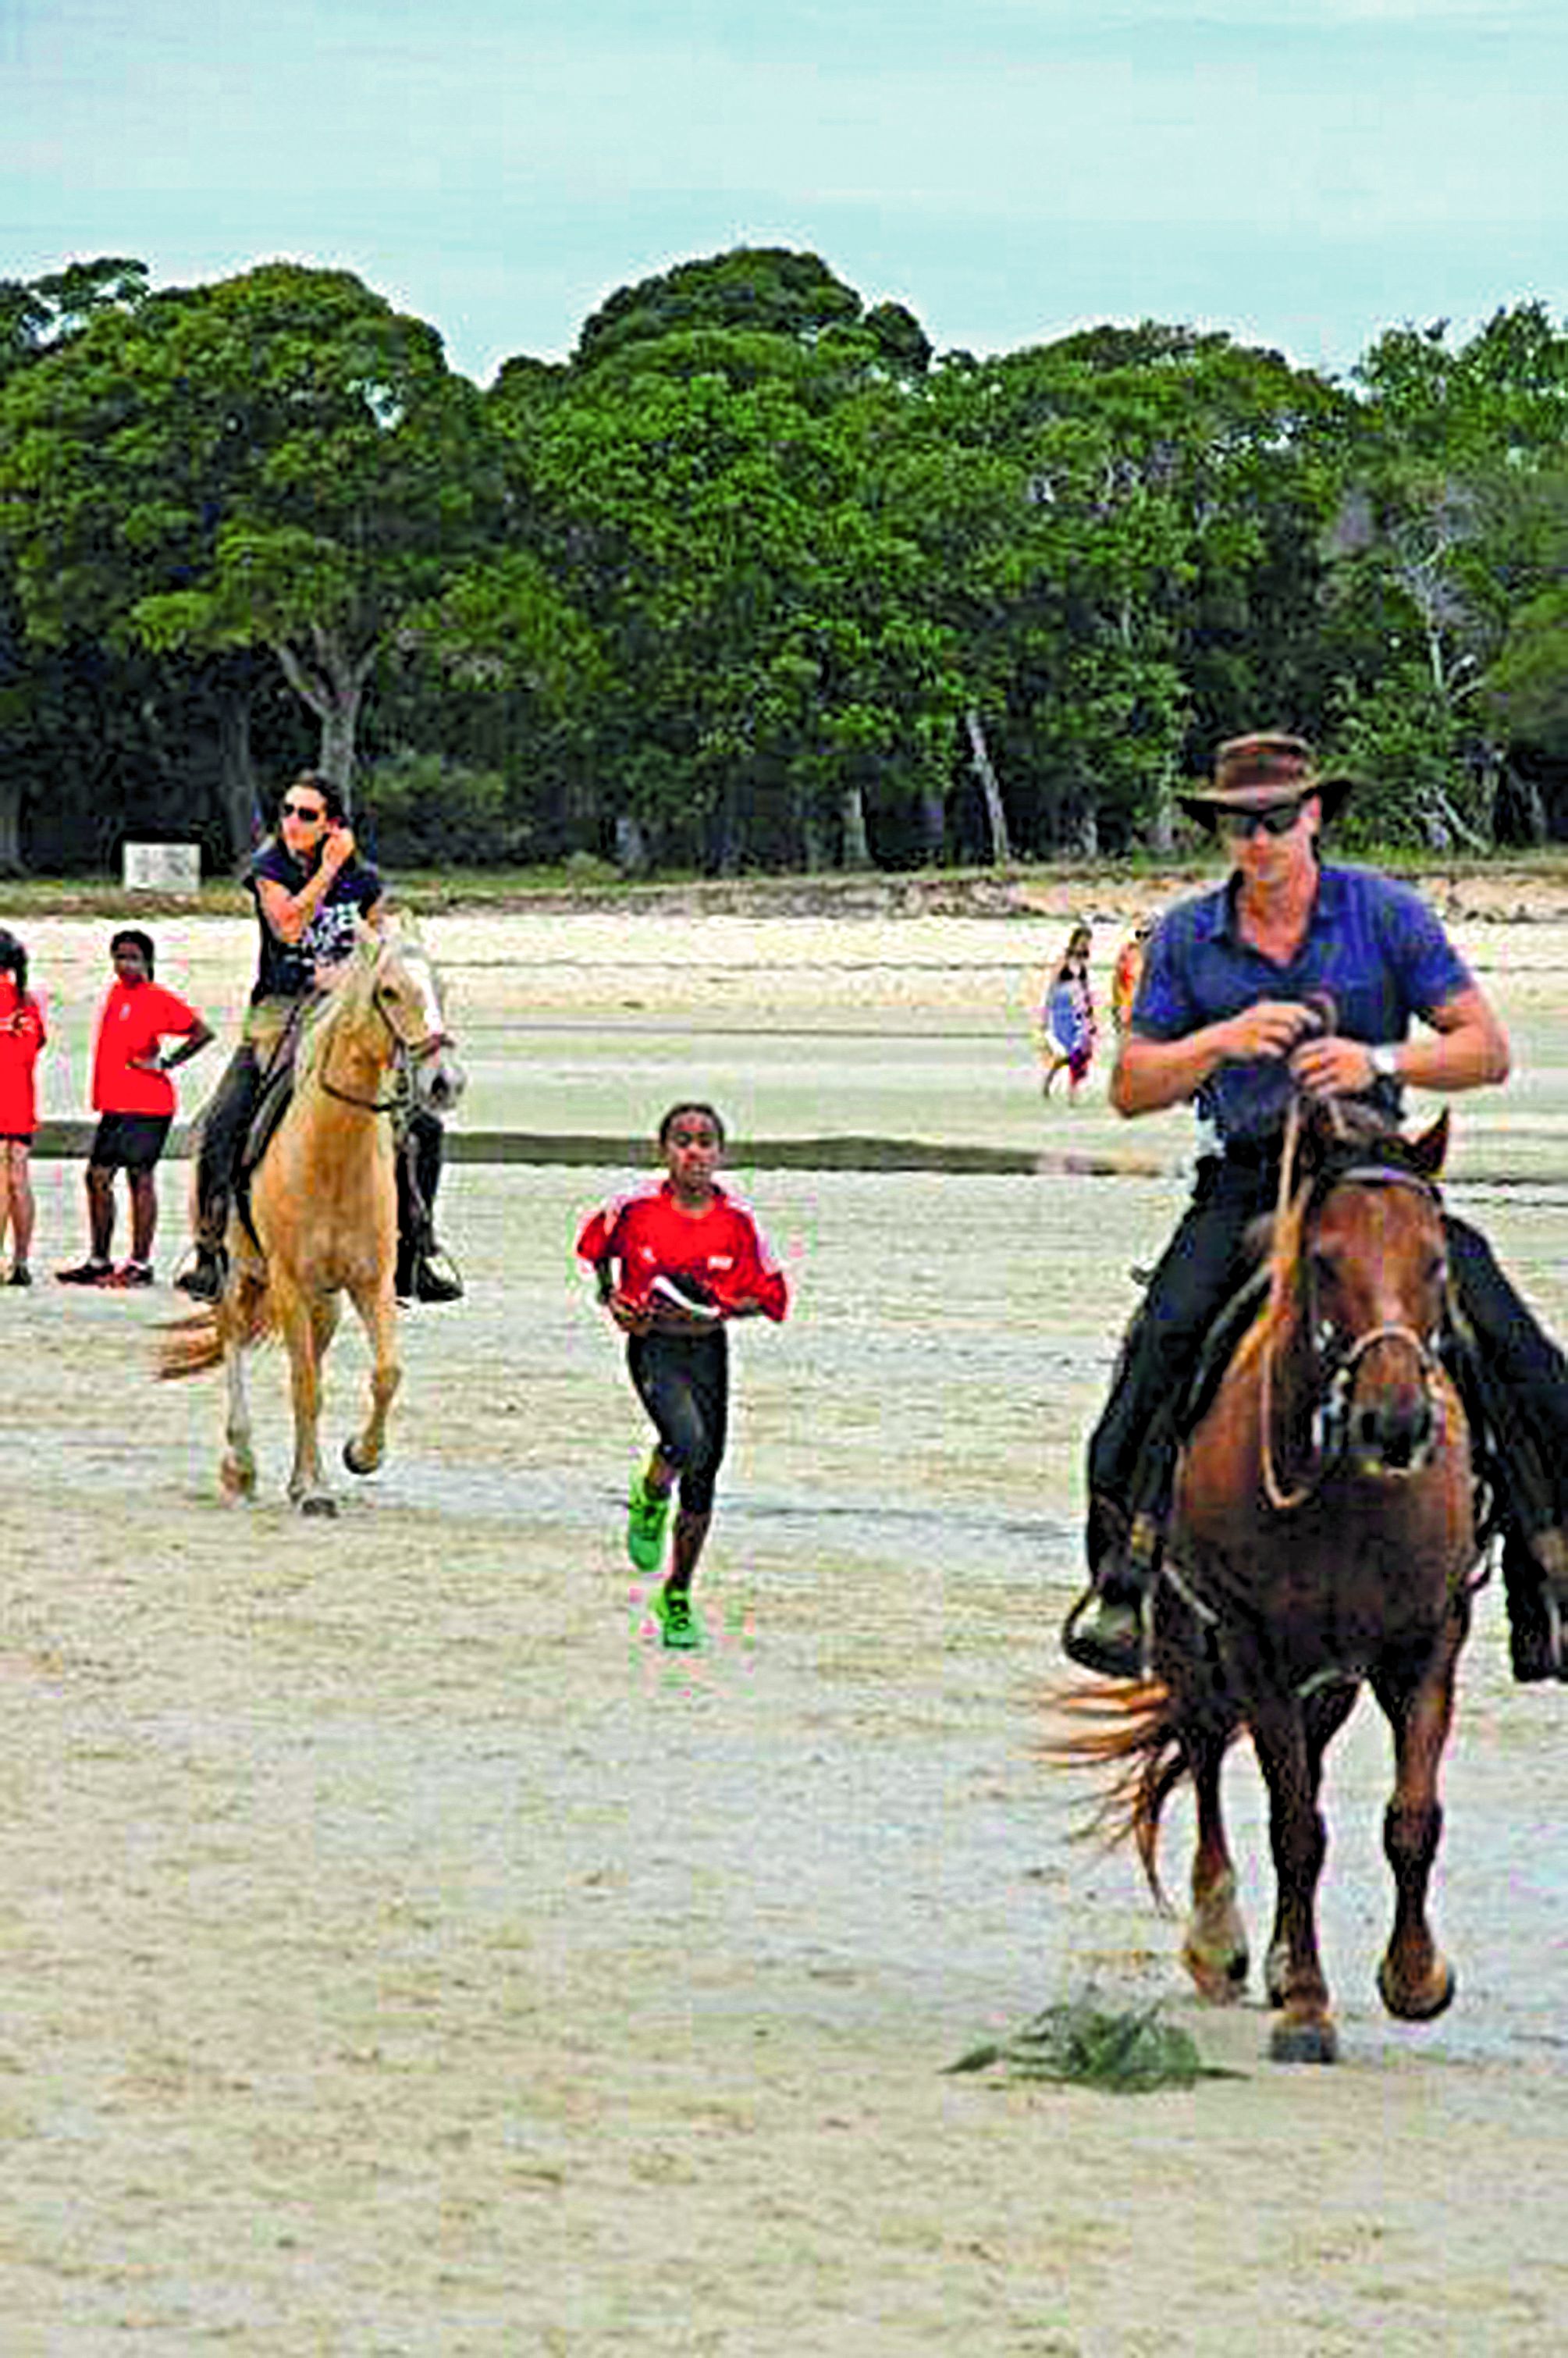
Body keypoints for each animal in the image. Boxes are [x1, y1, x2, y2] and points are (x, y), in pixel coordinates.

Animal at [159, 921, 465, 1514]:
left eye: (440, 985)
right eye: (389, 991)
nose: (444, 1082)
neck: (333, 1154)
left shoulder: (371, 1281)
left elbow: (385, 1373)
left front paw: (358, 1456)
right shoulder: (287, 1281)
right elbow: (304, 1385)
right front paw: (315, 1488)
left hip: (323, 1297)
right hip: (240, 1274)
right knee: (233, 1338)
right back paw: (241, 1464)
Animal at [1067, 1098, 1481, 2065]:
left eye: (1433, 1259)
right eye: (1324, 1260)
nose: (1393, 1420)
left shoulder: (1425, 1642)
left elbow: (1410, 1818)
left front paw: (1414, 1977)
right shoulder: (1250, 1643)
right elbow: (1293, 1827)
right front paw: (1304, 2009)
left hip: (1326, 1674)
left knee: (1301, 1761)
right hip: (1188, 1640)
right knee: (1207, 1755)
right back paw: (1219, 1942)